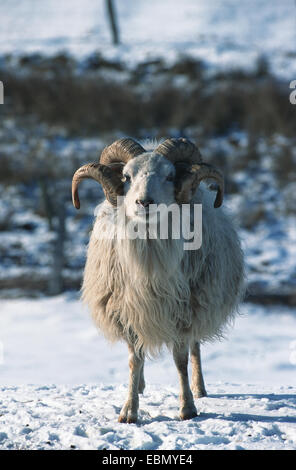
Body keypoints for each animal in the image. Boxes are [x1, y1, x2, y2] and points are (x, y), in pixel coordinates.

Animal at [72, 138, 245, 424]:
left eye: (170, 175)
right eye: (126, 176)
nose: (144, 202)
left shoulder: (185, 312)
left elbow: (181, 360)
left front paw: (187, 408)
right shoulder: (127, 311)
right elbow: (134, 360)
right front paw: (129, 410)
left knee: (195, 347)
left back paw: (199, 388)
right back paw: (141, 386)